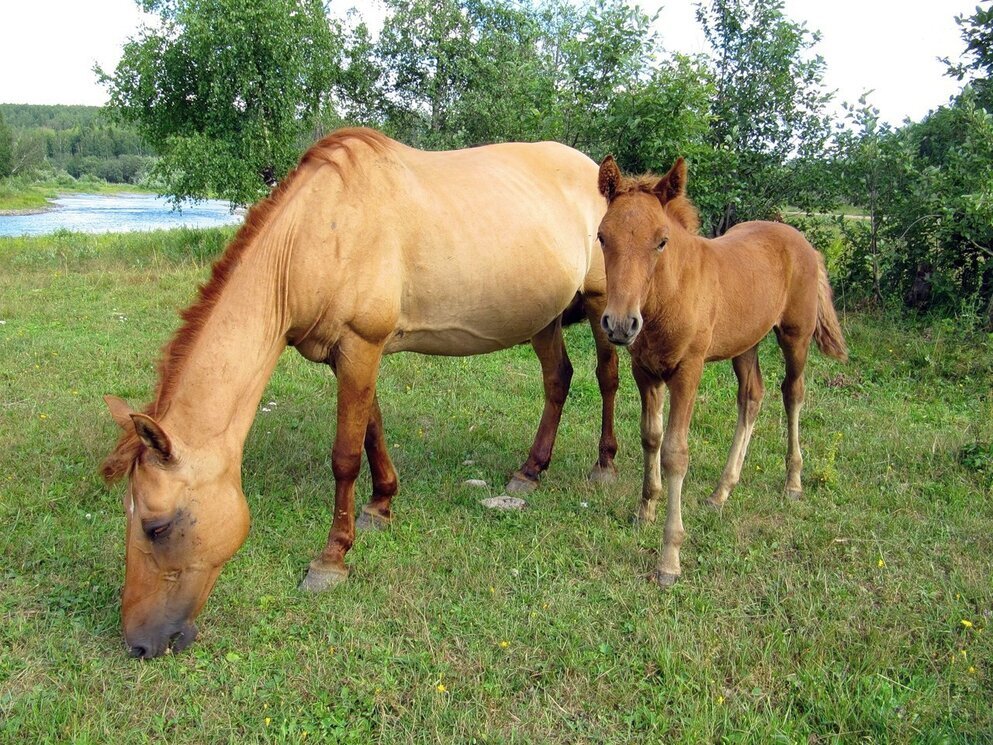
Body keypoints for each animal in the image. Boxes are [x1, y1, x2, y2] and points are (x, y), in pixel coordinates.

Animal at [99, 128, 612, 656]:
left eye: (156, 526)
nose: (138, 643)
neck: (312, 238)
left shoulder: (361, 346)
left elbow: (345, 456)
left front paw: (331, 559)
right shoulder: (348, 355)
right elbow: (372, 431)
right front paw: (379, 506)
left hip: (603, 307)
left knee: (606, 378)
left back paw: (604, 466)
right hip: (545, 319)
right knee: (558, 380)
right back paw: (530, 471)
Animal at [592, 155, 848, 588]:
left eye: (661, 240)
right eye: (602, 237)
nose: (621, 324)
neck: (668, 297)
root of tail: (805, 244)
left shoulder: (688, 371)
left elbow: (675, 452)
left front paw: (669, 558)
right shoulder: (645, 371)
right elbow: (650, 438)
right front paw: (645, 511)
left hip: (795, 336)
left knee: (792, 393)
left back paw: (793, 483)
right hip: (745, 344)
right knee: (752, 397)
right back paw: (721, 491)